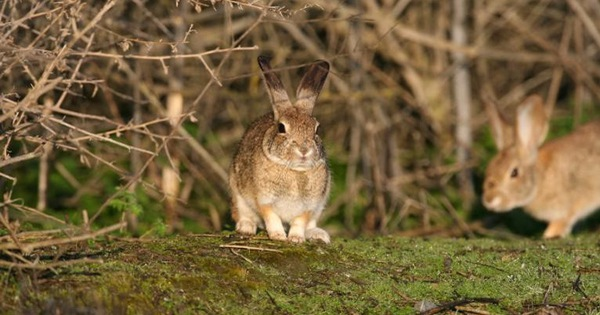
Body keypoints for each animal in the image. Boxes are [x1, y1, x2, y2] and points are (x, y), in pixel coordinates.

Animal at [230, 56, 332, 244]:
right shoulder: (264, 200)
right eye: (281, 128)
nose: (304, 150)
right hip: (237, 194)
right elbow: (272, 218)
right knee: (243, 214)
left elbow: (300, 222)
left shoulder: (309, 206)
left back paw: (318, 234)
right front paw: (278, 236)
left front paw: (296, 238)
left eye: (317, 129)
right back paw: (246, 227)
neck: (295, 171)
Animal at [486, 95, 600, 238]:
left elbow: (560, 223)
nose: (489, 200)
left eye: (514, 172)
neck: (540, 180)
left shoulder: (566, 208)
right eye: (490, 167)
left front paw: (549, 235)